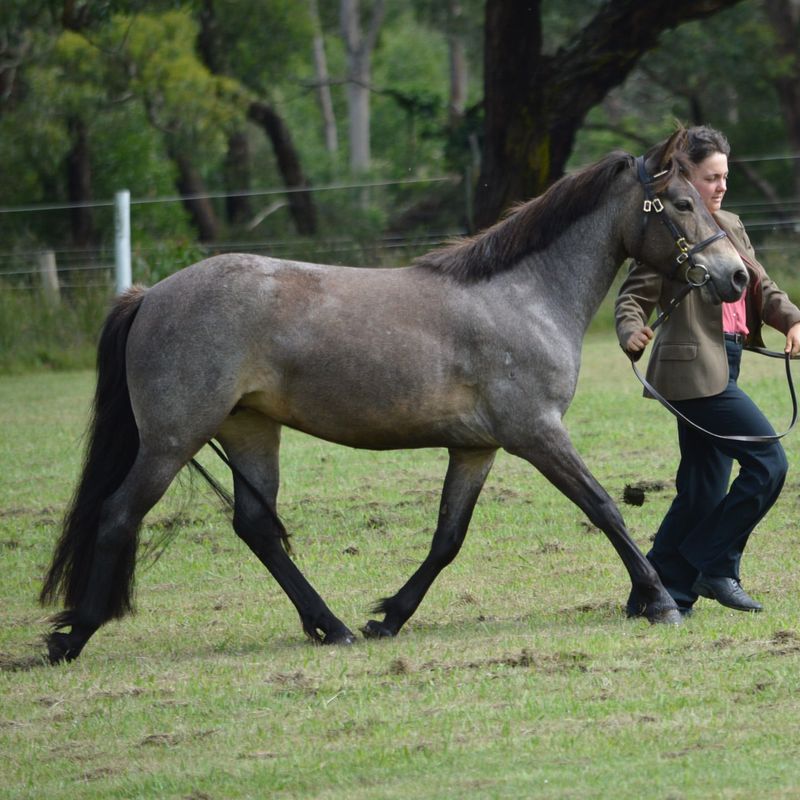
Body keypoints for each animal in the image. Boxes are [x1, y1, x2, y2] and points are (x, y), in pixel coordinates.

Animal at [40, 131, 748, 664]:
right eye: (681, 202)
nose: (736, 276)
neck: (524, 295)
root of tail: (150, 295)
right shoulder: (537, 433)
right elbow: (604, 508)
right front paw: (660, 602)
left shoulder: (476, 449)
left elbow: (447, 538)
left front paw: (389, 618)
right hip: (172, 438)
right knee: (118, 514)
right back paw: (73, 635)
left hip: (247, 430)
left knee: (256, 528)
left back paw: (332, 627)